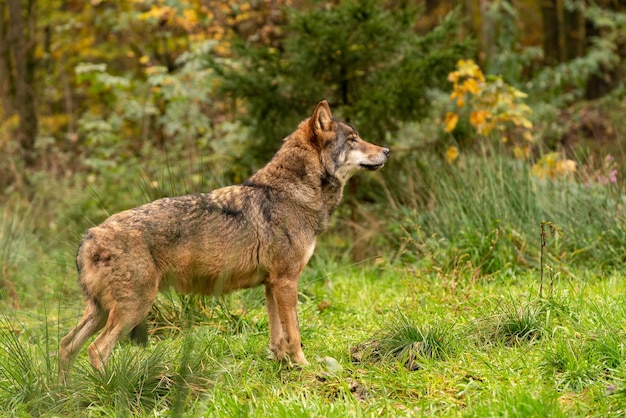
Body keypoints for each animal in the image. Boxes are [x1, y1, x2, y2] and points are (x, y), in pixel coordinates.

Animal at [59, 100, 390, 378]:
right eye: (353, 139)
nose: (387, 150)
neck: (292, 194)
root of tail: (89, 236)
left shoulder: (271, 285)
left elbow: (277, 336)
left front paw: (280, 365)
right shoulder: (286, 282)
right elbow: (295, 334)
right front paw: (303, 367)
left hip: (103, 311)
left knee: (66, 345)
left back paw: (64, 394)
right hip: (133, 308)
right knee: (96, 349)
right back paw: (113, 389)